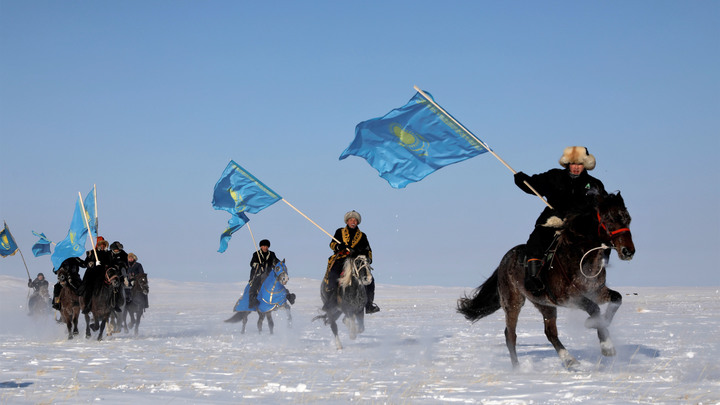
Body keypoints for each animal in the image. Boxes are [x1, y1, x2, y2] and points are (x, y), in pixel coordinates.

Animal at [458, 191, 632, 368]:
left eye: (628, 219)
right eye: (609, 219)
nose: (628, 251)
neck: (579, 256)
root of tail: (504, 261)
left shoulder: (596, 291)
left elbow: (617, 298)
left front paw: (598, 324)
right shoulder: (568, 297)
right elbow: (594, 308)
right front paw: (607, 346)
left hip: (545, 305)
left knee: (550, 333)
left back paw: (569, 360)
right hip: (513, 302)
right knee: (510, 335)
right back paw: (517, 368)